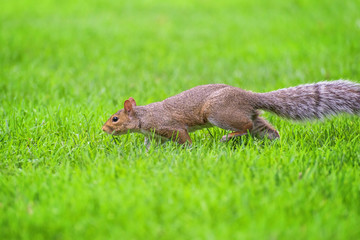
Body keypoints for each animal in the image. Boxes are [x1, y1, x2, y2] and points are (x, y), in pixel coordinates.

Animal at [101, 79, 360, 145]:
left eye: (115, 118)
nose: (103, 129)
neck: (143, 116)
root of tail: (249, 96)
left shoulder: (170, 126)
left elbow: (185, 139)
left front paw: (189, 151)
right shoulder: (153, 136)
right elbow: (149, 147)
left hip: (220, 114)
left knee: (245, 127)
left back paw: (229, 137)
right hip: (253, 119)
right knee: (265, 128)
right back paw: (276, 143)